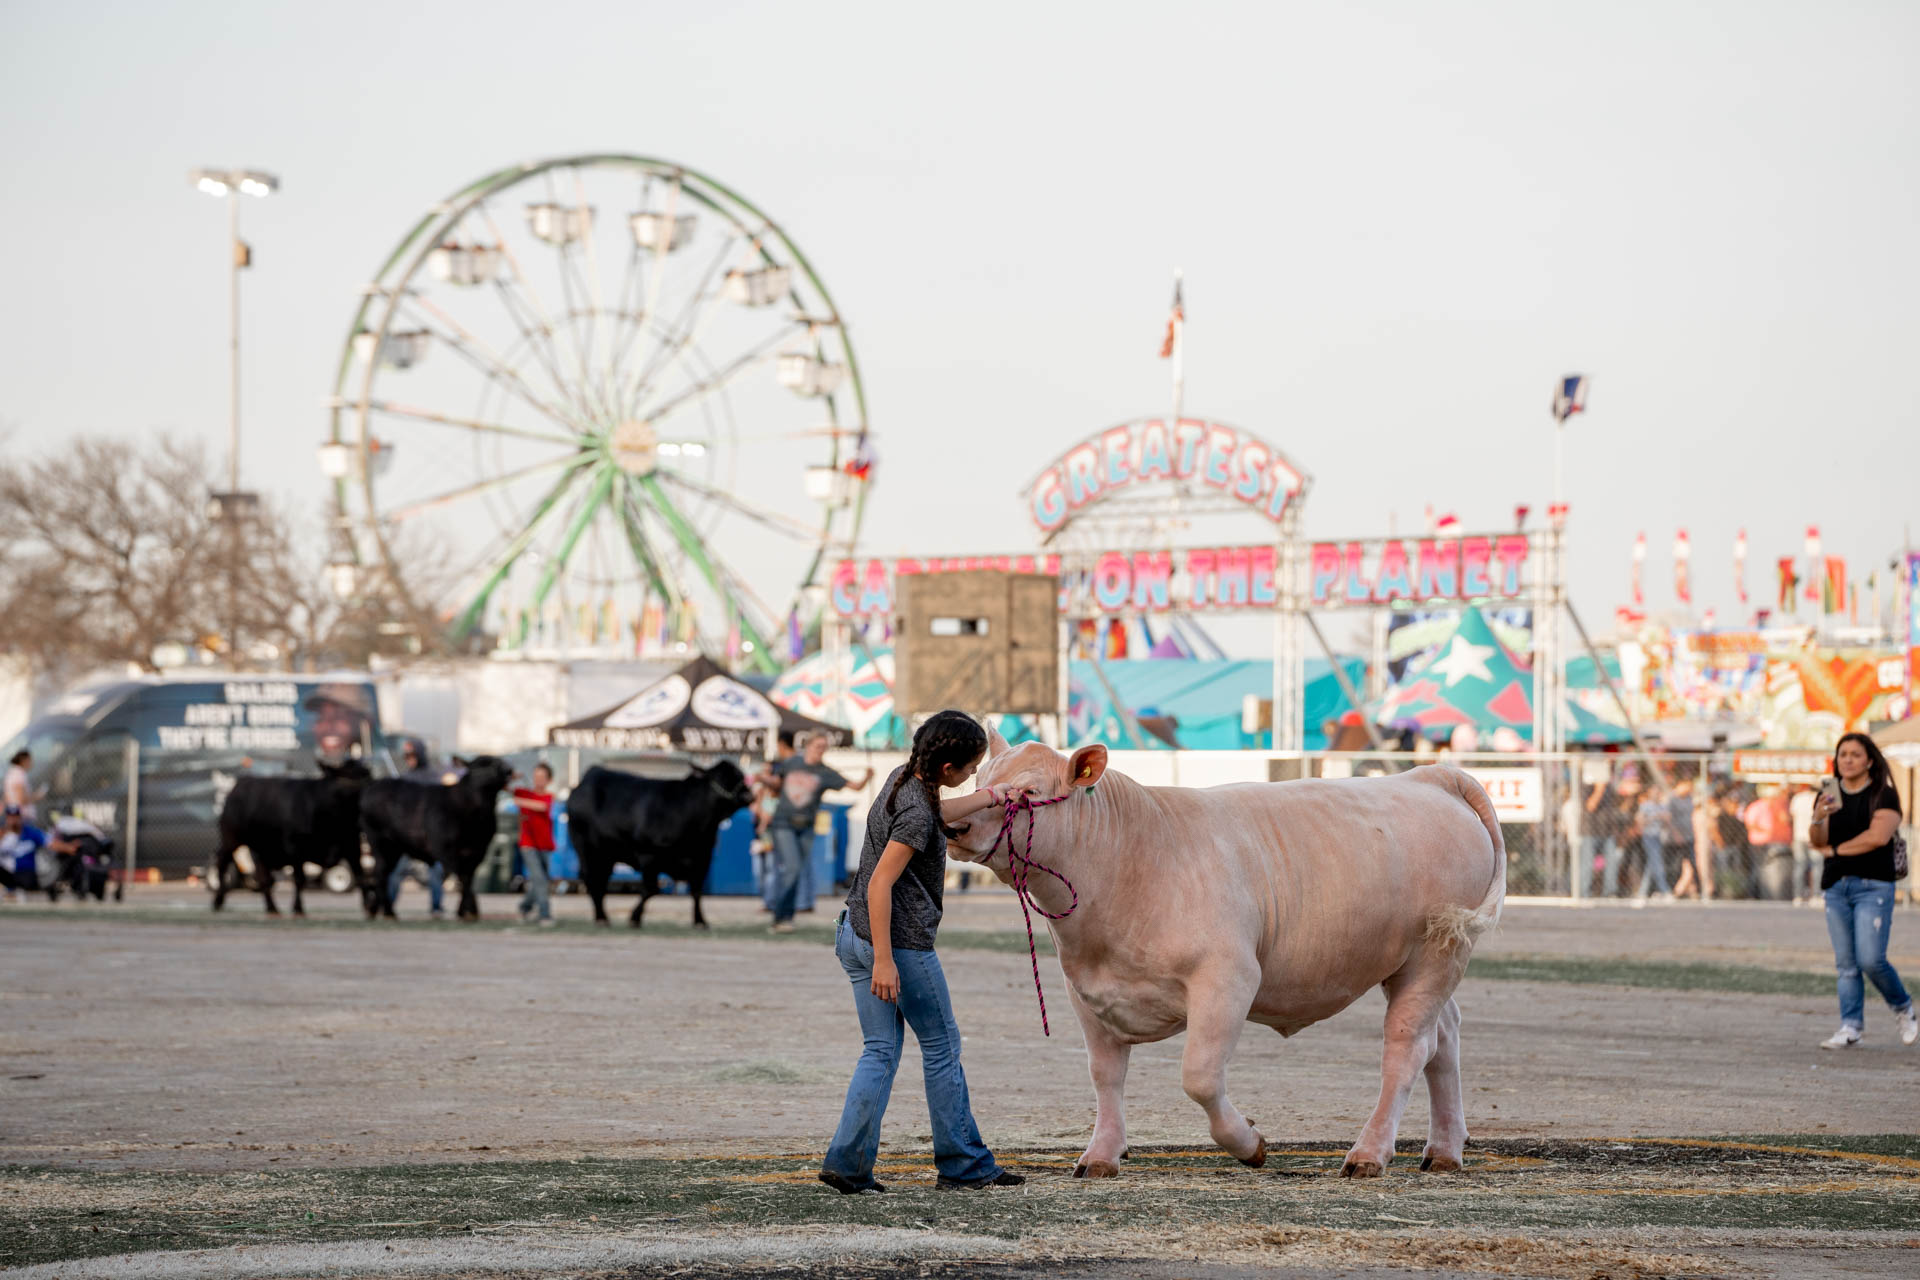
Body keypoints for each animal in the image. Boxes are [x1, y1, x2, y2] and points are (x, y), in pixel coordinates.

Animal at [212, 756, 372, 917]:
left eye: (367, 773)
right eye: (348, 776)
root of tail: (241, 783)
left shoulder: (352, 846)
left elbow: (360, 876)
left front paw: (368, 907)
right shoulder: (296, 848)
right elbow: (299, 879)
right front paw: (298, 908)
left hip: (260, 849)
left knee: (264, 877)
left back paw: (272, 907)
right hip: (231, 838)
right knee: (222, 862)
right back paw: (218, 900)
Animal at [359, 752, 514, 921]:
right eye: (483, 763)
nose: (508, 769)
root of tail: (373, 786)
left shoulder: (478, 851)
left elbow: (468, 878)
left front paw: (465, 911)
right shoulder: (445, 849)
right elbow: (462, 878)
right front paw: (470, 911)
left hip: (394, 848)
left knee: (383, 873)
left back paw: (375, 909)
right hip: (379, 841)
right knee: (380, 874)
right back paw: (387, 912)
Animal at [564, 759, 752, 932]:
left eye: (740, 775)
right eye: (720, 779)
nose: (748, 796)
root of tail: (591, 775)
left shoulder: (702, 860)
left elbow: (697, 892)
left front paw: (700, 921)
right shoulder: (648, 856)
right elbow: (651, 889)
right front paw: (634, 918)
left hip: (607, 855)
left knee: (601, 881)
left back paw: (602, 917)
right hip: (586, 848)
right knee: (592, 880)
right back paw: (601, 918)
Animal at [952, 729, 1505, 1182]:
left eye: (1027, 793)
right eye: (980, 778)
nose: (954, 827)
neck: (1129, 858)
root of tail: (1432, 776)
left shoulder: (1229, 978)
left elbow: (1199, 1076)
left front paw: (1249, 1144)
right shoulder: (1086, 989)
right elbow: (1105, 1075)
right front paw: (1102, 1154)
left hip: (1436, 952)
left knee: (1408, 1047)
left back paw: (1369, 1153)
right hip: (1412, 963)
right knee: (1444, 1035)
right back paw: (1444, 1149)